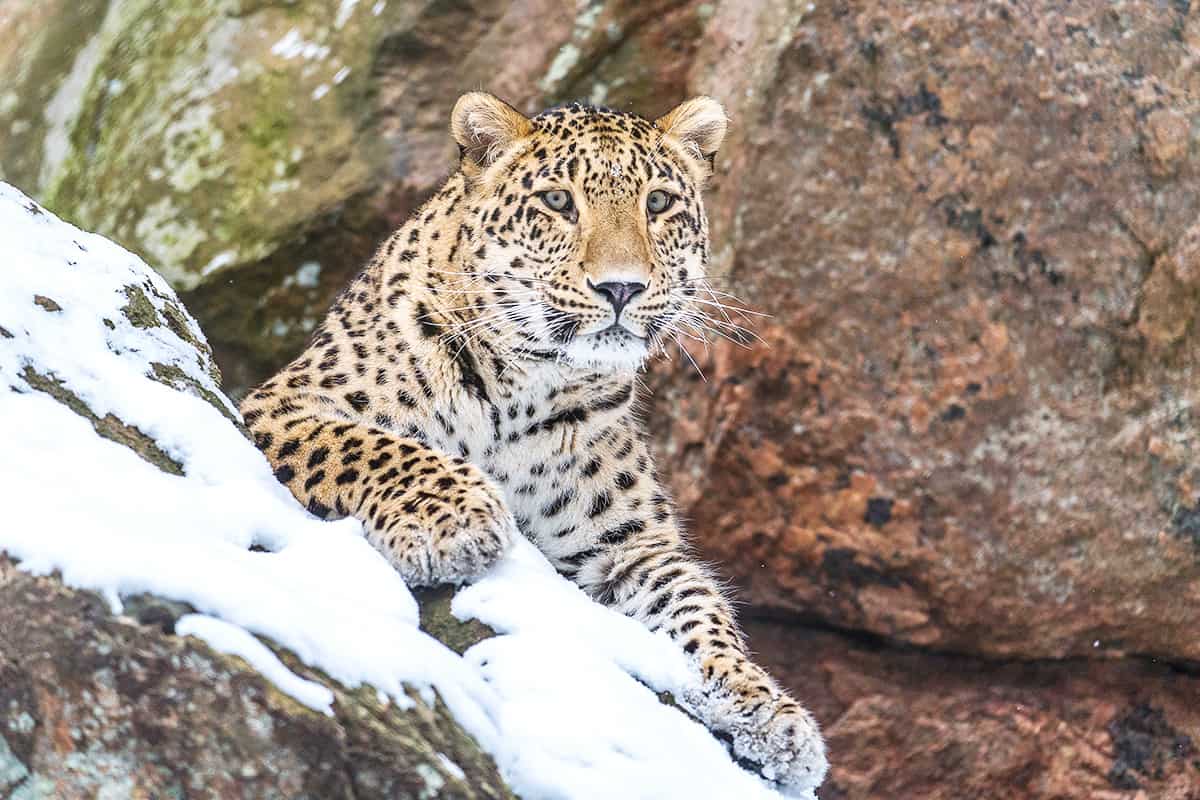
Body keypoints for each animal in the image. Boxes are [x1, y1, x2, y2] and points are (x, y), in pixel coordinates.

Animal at [239, 92, 828, 794]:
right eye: (557, 202)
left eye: (658, 204)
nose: (621, 287)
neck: (528, 385)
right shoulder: (288, 404)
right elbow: (383, 448)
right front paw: (454, 522)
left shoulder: (624, 547)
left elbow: (698, 607)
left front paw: (767, 709)